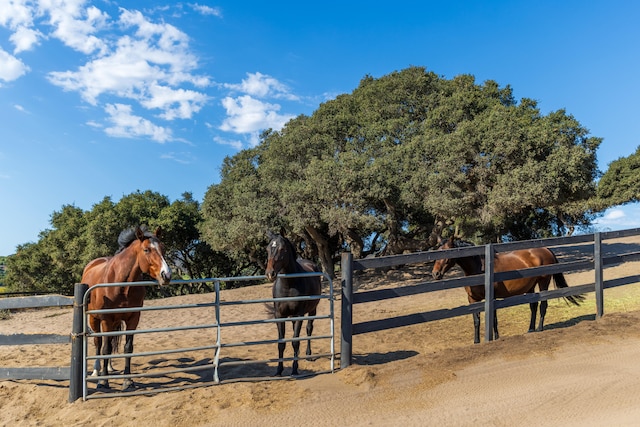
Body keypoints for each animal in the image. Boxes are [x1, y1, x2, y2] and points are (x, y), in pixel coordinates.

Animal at [81, 227, 171, 392]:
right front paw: (103, 382)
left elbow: (127, 348)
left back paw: (109, 368)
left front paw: (127, 381)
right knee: (98, 343)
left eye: (163, 249)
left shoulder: (133, 319)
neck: (121, 283)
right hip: (94, 319)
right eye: (146, 249)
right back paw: (97, 371)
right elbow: (105, 349)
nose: (166, 275)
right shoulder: (106, 319)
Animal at [264, 232, 322, 376]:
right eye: (267, 249)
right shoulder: (279, 316)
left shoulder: (299, 314)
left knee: (309, 329)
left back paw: (308, 354)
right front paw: (279, 370)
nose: (270, 274)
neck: (288, 285)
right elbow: (281, 343)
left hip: (312, 311)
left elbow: (295, 341)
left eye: (282, 249)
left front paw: (295, 370)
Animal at [432, 237, 584, 344]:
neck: (480, 269)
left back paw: (540, 328)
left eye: (446, 252)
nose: (435, 274)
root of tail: (546, 249)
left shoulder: (491, 298)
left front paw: (496, 337)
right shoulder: (472, 299)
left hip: (543, 283)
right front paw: (476, 341)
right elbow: (476, 321)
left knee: (543, 305)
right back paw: (530, 329)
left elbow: (493, 319)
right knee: (533, 306)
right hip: (530, 287)